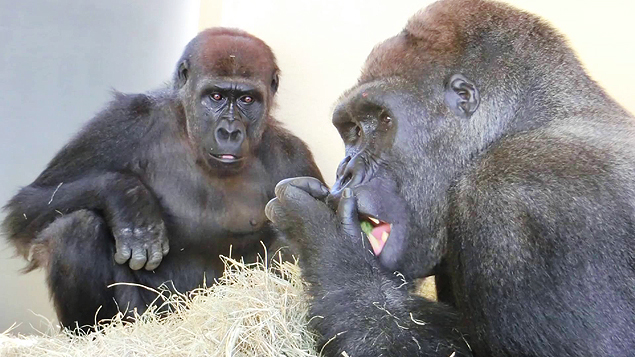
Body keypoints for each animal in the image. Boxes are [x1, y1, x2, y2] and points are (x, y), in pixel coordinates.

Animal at [2, 27, 322, 330]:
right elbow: (27, 206)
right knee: (75, 226)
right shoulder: (126, 119)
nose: (230, 132)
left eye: (247, 99)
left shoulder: (293, 157)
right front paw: (129, 200)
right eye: (216, 96)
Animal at [266, 1, 635, 354]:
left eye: (384, 120)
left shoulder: (517, 198)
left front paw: (319, 235)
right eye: (353, 130)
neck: (513, 126)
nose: (345, 172)